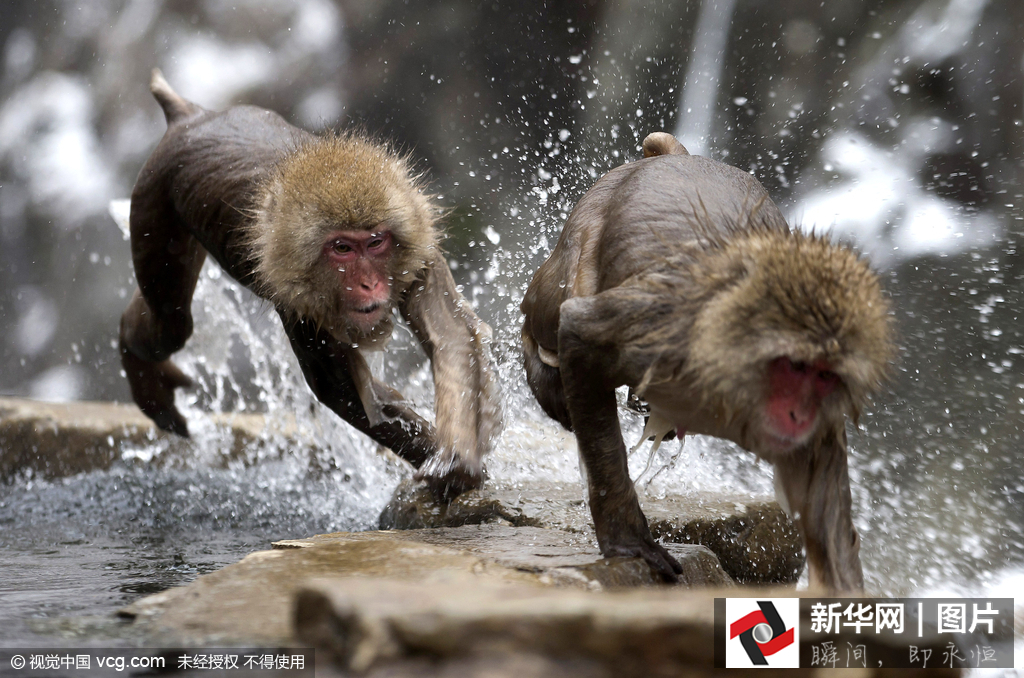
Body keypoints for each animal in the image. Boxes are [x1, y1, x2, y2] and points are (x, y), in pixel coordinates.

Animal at [121, 71, 501, 501]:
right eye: (342, 248)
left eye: (375, 242)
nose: (370, 284)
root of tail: (192, 117)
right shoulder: (298, 301)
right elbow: (343, 392)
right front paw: (446, 465)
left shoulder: (420, 250)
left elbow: (451, 336)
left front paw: (457, 459)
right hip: (153, 200)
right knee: (172, 324)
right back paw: (141, 367)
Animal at [524, 131, 892, 589]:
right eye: (795, 366)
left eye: (825, 375)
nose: (797, 413)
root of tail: (676, 156)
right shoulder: (662, 328)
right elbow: (579, 329)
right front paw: (629, 541)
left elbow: (824, 506)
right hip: (589, 217)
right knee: (552, 308)